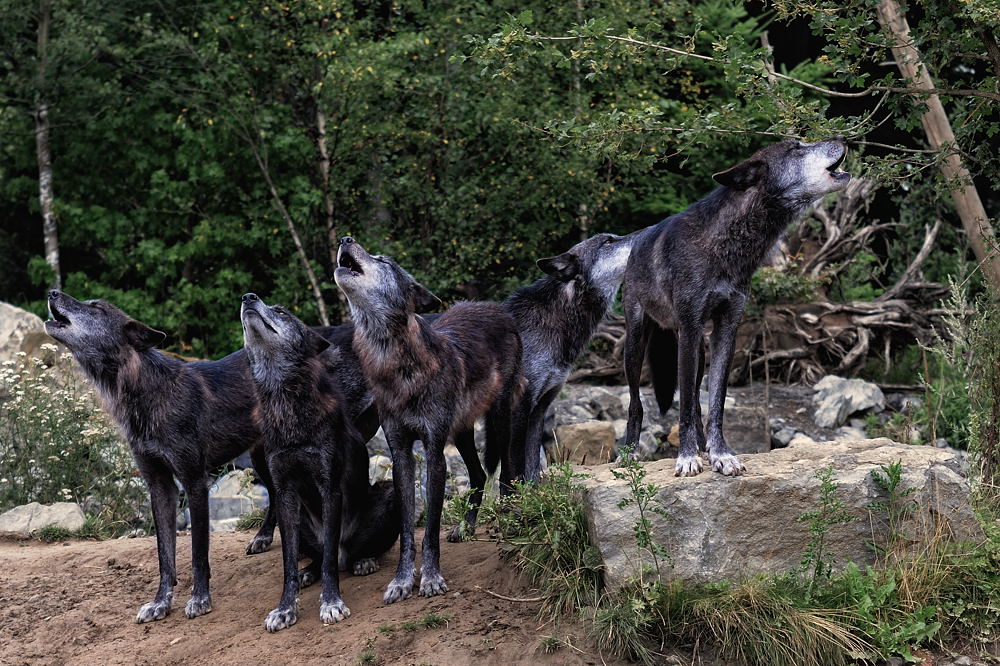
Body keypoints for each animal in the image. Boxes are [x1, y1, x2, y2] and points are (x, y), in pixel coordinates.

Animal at [336, 236, 524, 604]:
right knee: (478, 474)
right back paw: (466, 527)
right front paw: (402, 580)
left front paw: (432, 577)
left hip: (499, 417)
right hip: (462, 430)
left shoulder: (435, 451)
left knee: (506, 471)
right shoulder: (401, 454)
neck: (395, 364)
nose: (346, 238)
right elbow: (408, 529)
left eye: (385, 261)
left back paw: (509, 518)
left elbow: (431, 528)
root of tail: (494, 307)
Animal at [448, 231, 632, 536]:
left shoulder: (540, 408)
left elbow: (531, 466)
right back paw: (464, 526)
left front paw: (533, 508)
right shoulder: (518, 407)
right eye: (608, 242)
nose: (646, 233)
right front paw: (511, 513)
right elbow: (513, 468)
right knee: (478, 475)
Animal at [620, 137, 848, 474]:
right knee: (636, 402)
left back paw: (702, 447)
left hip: (698, 350)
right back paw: (631, 452)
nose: (842, 139)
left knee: (696, 401)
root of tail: (634, 245)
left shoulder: (727, 328)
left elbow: (715, 403)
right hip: (636, 344)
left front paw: (720, 454)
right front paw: (687, 458)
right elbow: (684, 406)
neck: (726, 245)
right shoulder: (690, 327)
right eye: (795, 149)